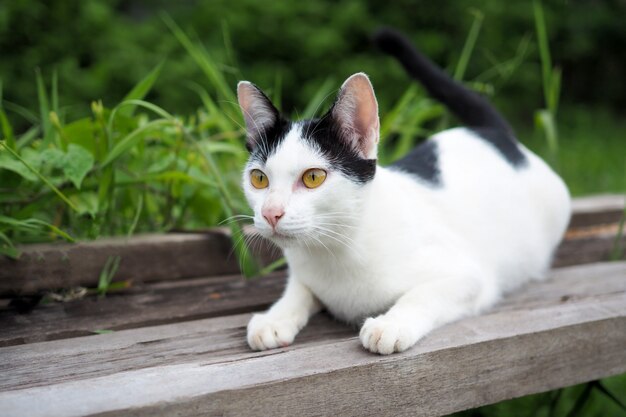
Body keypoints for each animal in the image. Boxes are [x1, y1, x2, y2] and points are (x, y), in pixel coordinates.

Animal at [236, 27, 568, 354]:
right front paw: (274, 317)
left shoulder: (471, 276)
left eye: (314, 177)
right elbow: (298, 290)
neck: (337, 249)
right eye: (259, 179)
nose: (271, 213)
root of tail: (490, 132)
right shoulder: (303, 273)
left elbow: (421, 294)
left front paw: (390, 324)